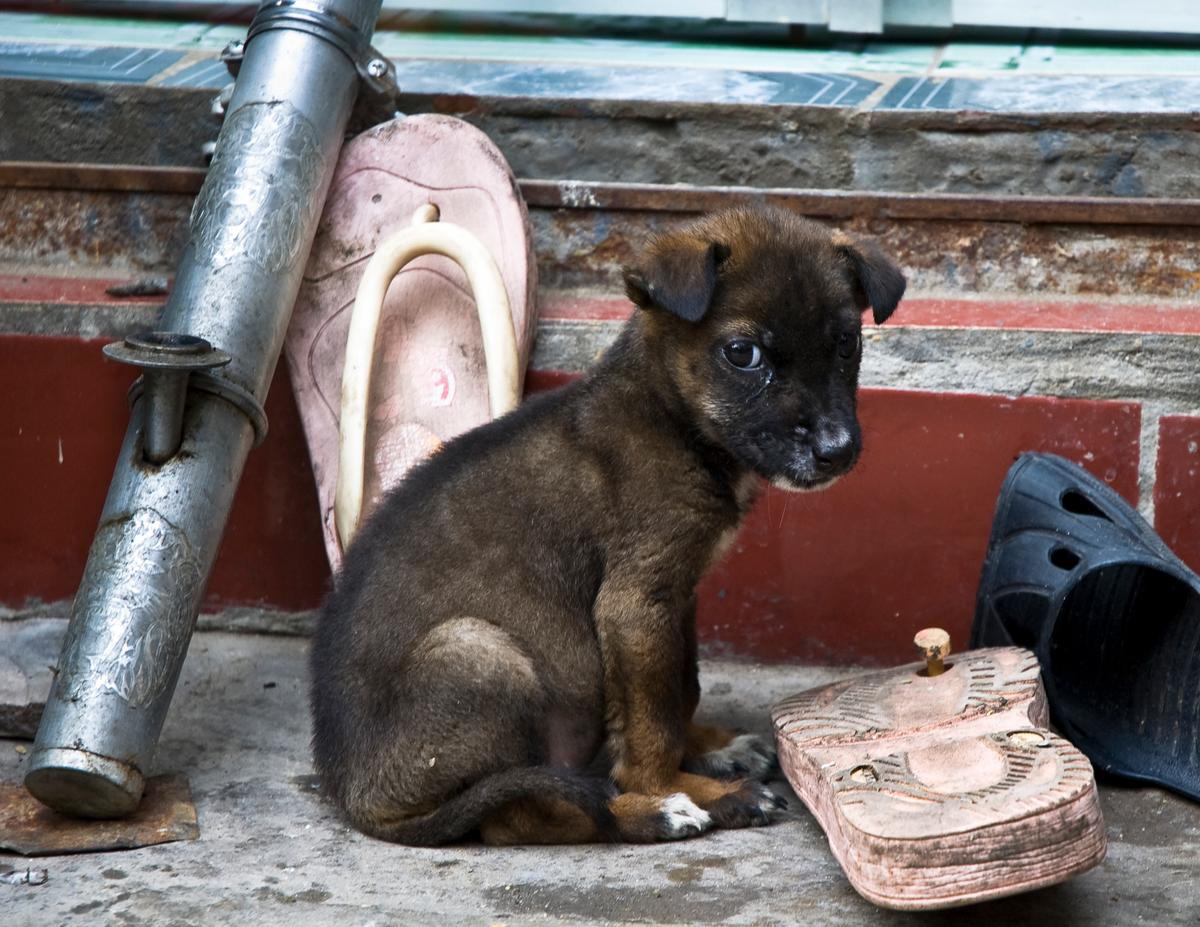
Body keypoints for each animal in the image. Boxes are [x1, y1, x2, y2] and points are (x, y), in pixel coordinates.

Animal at [307, 206, 902, 845]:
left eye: (847, 343)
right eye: (743, 354)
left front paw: (707, 747)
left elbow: (680, 687)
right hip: (477, 652)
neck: (671, 417)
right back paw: (652, 812)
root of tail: (357, 797)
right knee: (519, 815)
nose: (837, 451)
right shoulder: (636, 600)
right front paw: (676, 786)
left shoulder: (676, 596)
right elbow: (651, 721)